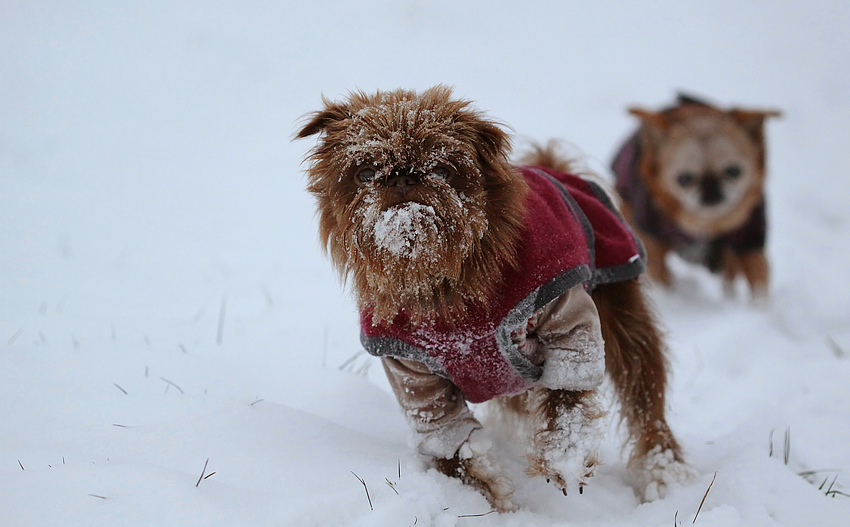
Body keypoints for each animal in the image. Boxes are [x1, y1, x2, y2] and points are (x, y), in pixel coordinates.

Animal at [296, 86, 688, 512]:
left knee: (644, 395)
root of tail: (554, 168)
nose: (402, 177)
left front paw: (565, 459)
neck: (443, 289)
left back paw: (663, 471)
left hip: (620, 308)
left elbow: (567, 396)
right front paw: (488, 501)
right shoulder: (416, 381)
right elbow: (451, 444)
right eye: (366, 173)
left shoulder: (566, 321)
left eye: (441, 169)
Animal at [608, 95, 780, 300]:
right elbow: (660, 273)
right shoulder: (650, 235)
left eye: (734, 171)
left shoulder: (751, 240)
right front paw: (670, 295)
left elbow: (758, 278)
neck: (706, 225)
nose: (711, 189)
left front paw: (758, 305)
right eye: (684, 178)